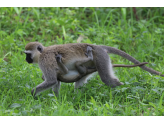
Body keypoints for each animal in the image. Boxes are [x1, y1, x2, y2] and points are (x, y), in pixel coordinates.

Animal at [24, 41, 163, 96]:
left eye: (28, 54)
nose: (26, 60)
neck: (42, 53)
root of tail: (98, 47)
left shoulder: (45, 62)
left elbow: (52, 80)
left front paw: (33, 94)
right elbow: (55, 82)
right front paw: (56, 99)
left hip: (101, 58)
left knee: (108, 79)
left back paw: (122, 90)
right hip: (89, 66)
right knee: (79, 82)